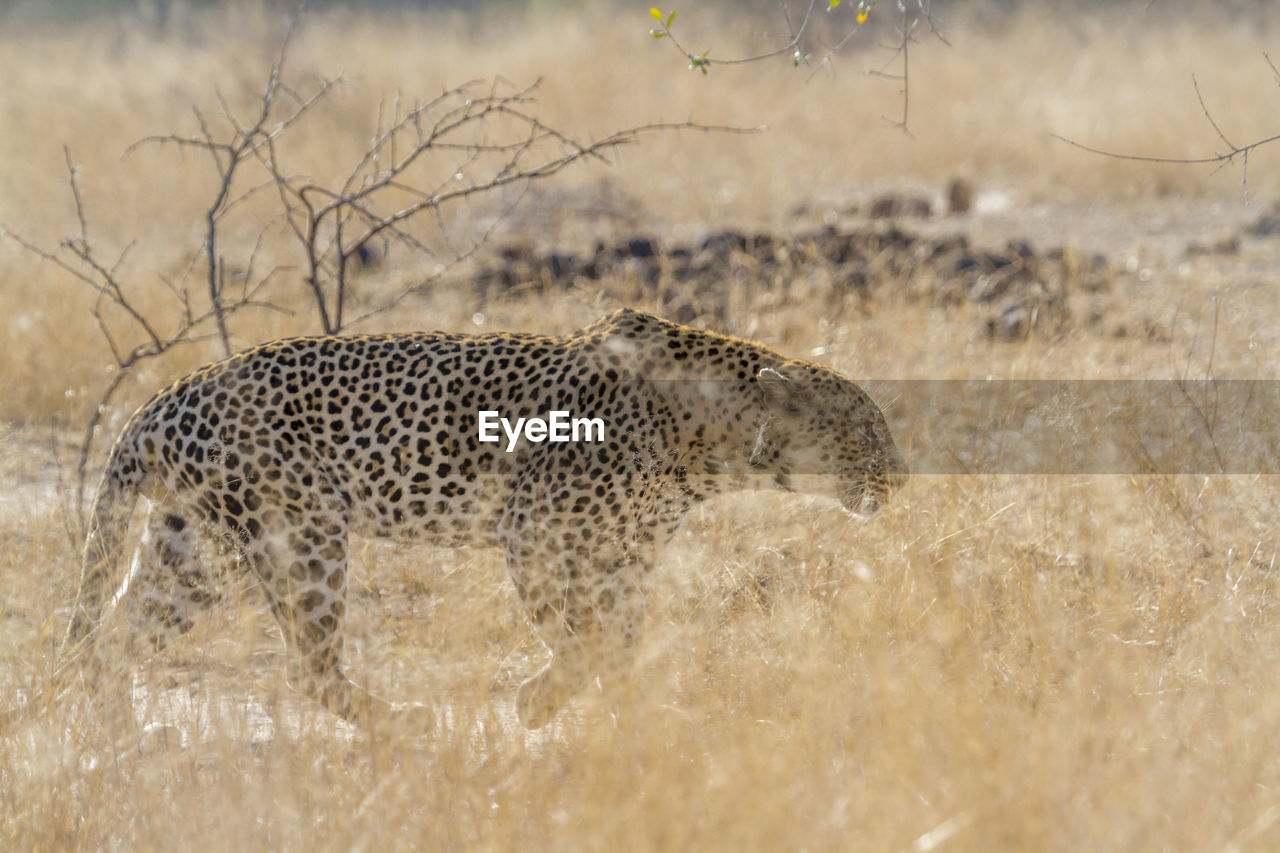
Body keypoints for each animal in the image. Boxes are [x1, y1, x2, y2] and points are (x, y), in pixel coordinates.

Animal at [57, 308, 901, 727]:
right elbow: (581, 637)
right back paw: (402, 723)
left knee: (112, 640)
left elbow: (622, 640)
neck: (711, 448)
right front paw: (538, 703)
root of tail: (162, 399)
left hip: (191, 547)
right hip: (301, 533)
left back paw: (123, 740)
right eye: (866, 429)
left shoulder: (627, 555)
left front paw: (638, 712)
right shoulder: (536, 534)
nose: (898, 476)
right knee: (306, 662)